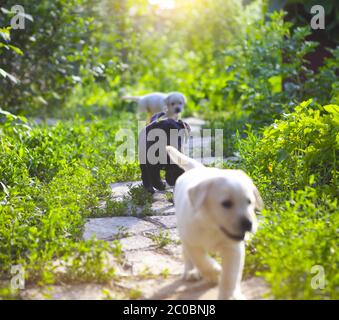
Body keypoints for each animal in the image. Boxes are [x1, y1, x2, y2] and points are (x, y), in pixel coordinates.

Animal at [166, 146, 264, 298]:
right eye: (226, 204)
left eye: (249, 202)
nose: (248, 224)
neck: (211, 225)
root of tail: (198, 168)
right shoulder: (192, 242)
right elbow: (201, 260)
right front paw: (214, 273)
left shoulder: (233, 249)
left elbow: (230, 275)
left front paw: (230, 295)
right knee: (187, 255)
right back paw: (191, 271)